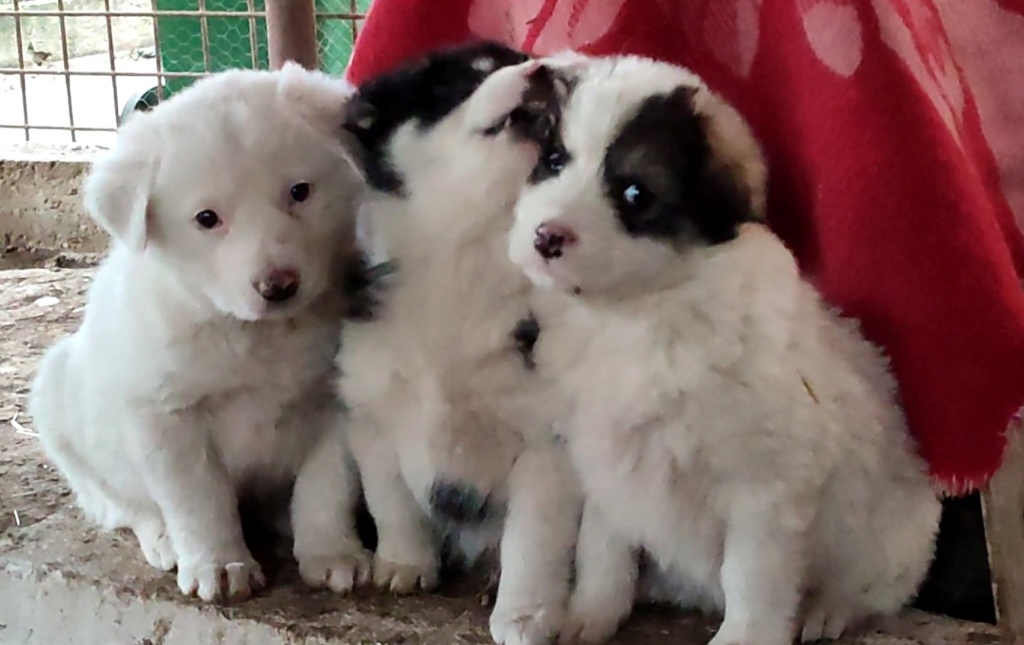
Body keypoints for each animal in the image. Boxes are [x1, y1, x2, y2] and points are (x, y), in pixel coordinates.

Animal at [27, 64, 372, 602]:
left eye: (300, 192)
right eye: (207, 219)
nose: (278, 286)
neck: (259, 334)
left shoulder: (335, 402)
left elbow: (326, 486)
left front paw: (331, 551)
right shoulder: (167, 417)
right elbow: (200, 499)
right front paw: (220, 564)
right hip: (60, 405)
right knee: (125, 506)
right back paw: (164, 539)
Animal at [333, 41, 581, 645]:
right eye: (466, 77)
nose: (548, 72)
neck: (468, 250)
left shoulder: (548, 446)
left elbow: (533, 542)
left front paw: (523, 617)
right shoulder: (371, 414)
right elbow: (392, 498)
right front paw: (404, 563)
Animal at [507, 54, 937, 645]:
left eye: (635, 194)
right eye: (554, 161)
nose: (545, 236)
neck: (636, 311)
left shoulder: (764, 491)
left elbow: (750, 576)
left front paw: (745, 635)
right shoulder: (608, 467)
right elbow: (605, 549)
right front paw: (590, 616)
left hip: (900, 541)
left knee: (871, 591)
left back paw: (827, 611)